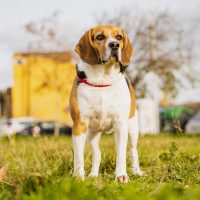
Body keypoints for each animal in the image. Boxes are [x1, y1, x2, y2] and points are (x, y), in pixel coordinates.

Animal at [69, 25, 143, 183]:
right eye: (100, 37)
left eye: (119, 37)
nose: (114, 45)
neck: (103, 78)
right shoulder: (79, 125)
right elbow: (78, 155)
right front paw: (78, 176)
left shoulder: (121, 124)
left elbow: (121, 153)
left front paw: (121, 175)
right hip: (92, 134)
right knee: (97, 154)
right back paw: (93, 175)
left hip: (133, 129)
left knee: (133, 151)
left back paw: (137, 172)